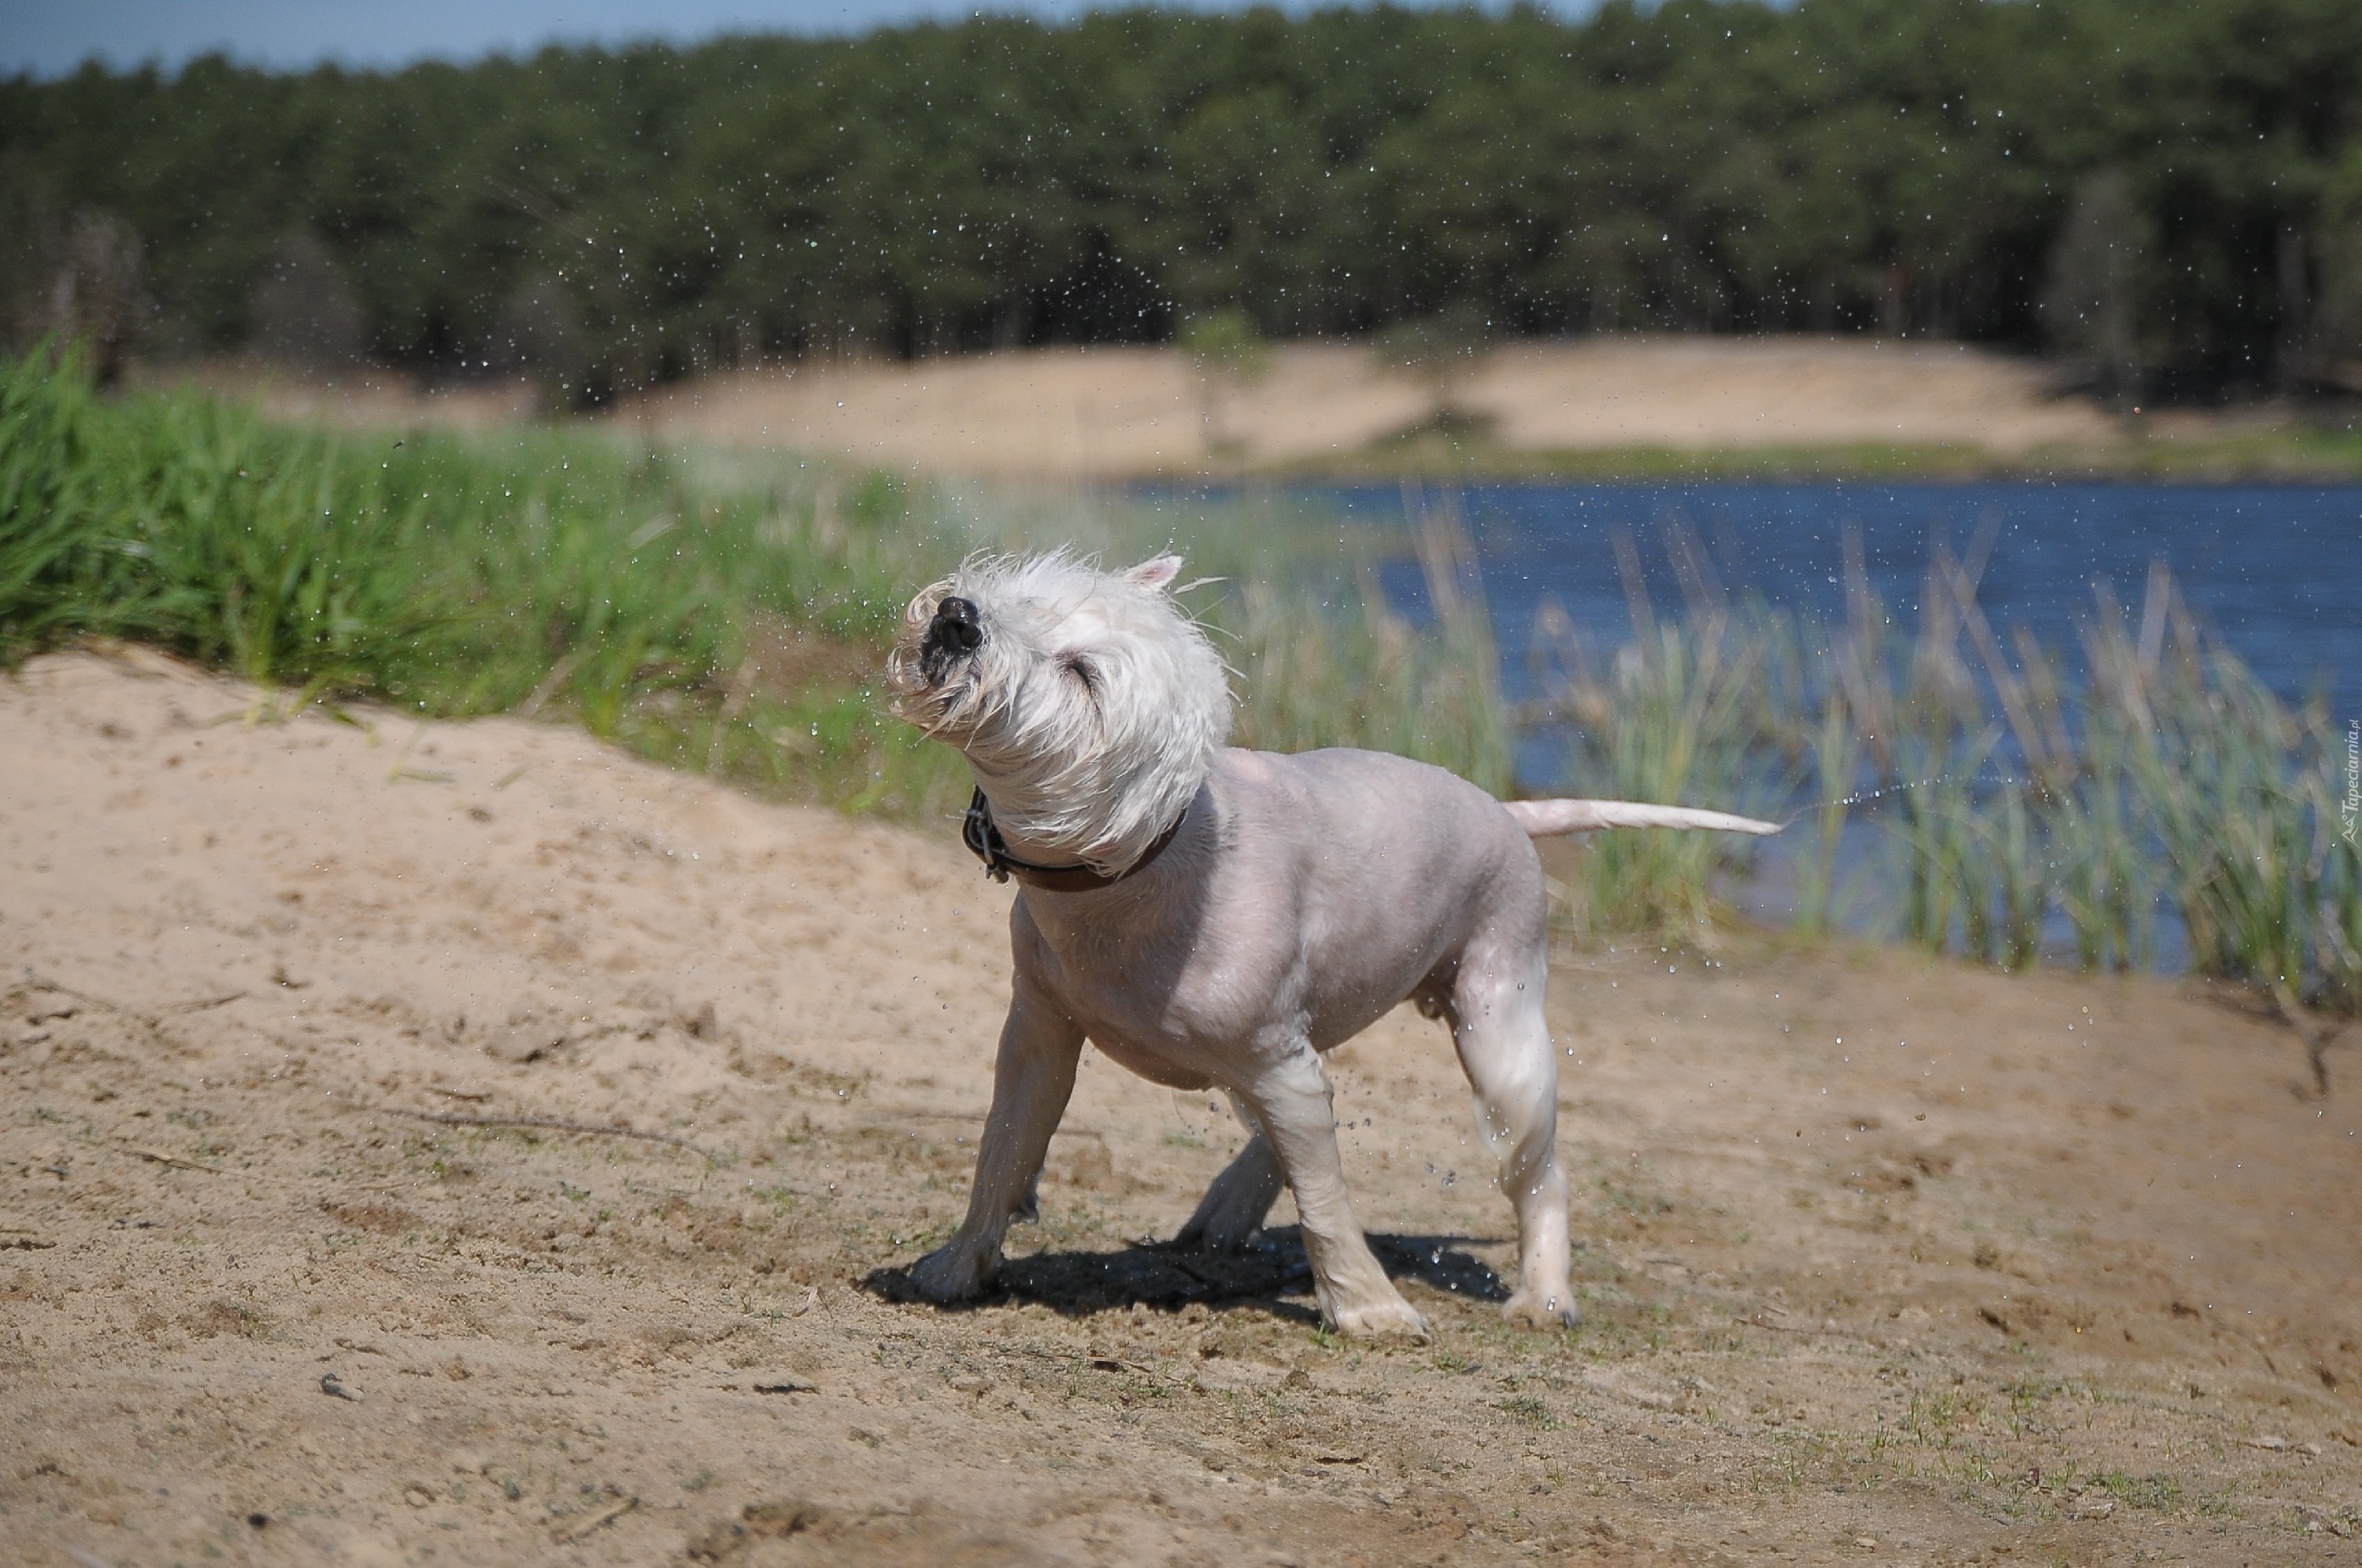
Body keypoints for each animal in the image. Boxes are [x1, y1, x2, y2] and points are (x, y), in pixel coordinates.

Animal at [888, 550, 1776, 1332]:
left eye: (1081, 674)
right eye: (1022, 596)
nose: (959, 617)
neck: (1141, 861)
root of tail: (1507, 812)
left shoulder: (1275, 1061)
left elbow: (1325, 1197)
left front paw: (1368, 1309)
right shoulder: (1040, 1032)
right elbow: (1003, 1151)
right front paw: (958, 1267)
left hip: (1501, 1027)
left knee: (1538, 1169)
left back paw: (1545, 1297)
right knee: (1305, 1115)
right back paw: (1230, 1206)